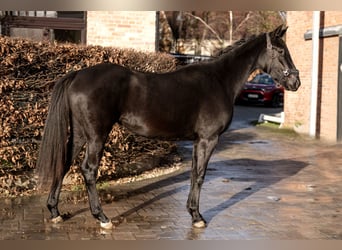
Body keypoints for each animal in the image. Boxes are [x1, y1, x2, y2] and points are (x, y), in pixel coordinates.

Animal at [36, 24, 300, 229]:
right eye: (280, 50)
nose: (295, 82)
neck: (219, 81)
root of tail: (77, 75)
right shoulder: (209, 139)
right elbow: (200, 175)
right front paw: (198, 217)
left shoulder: (198, 141)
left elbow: (193, 174)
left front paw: (192, 212)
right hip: (96, 136)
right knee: (89, 170)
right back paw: (102, 217)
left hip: (81, 134)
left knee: (64, 162)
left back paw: (55, 212)